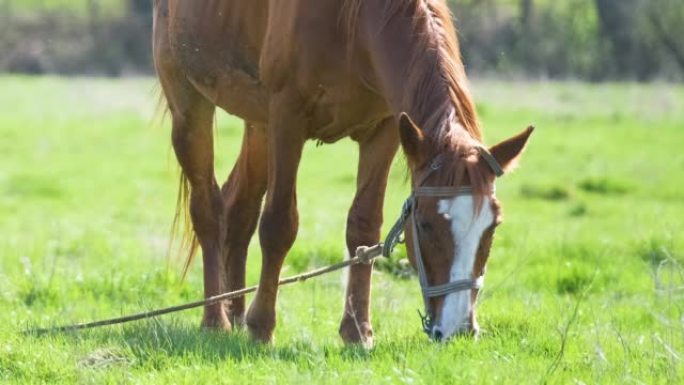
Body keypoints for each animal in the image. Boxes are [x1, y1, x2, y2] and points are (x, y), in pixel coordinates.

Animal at [154, 0, 536, 344]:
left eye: (493, 227)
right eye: (425, 224)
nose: (458, 329)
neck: (354, 25)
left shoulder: (385, 130)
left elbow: (363, 226)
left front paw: (357, 331)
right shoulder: (287, 116)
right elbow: (279, 223)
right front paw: (262, 326)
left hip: (258, 123)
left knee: (239, 208)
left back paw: (234, 311)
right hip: (190, 103)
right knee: (208, 209)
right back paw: (215, 318)